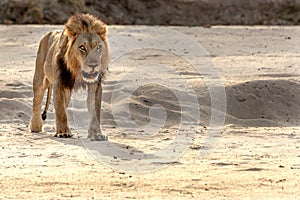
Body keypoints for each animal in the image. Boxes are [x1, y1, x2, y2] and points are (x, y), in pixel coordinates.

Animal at [29, 13, 109, 141]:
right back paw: (36, 127)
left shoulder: (95, 85)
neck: (77, 71)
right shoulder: (59, 84)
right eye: (82, 47)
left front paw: (97, 134)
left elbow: (95, 110)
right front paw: (63, 132)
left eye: (98, 47)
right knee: (37, 101)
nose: (94, 65)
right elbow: (60, 110)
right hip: (40, 79)